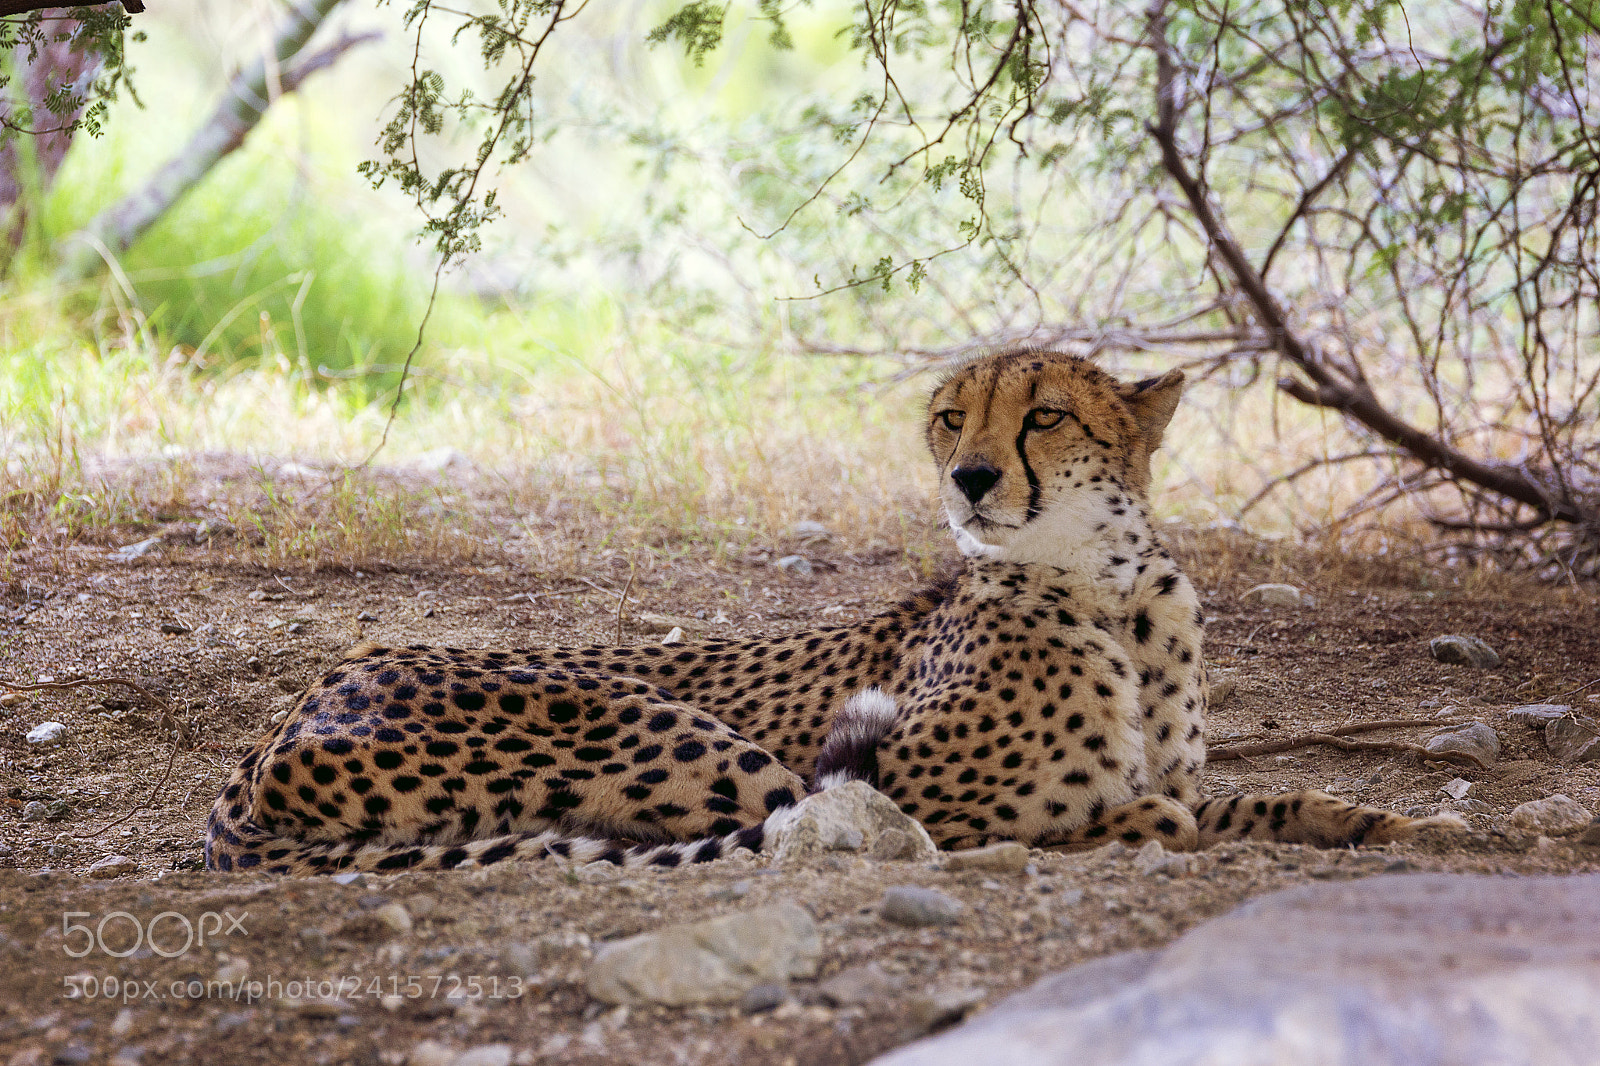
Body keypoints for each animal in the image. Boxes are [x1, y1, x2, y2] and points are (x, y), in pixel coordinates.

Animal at [207, 348, 1458, 875]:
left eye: (1045, 414)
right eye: (952, 416)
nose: (970, 477)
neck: (1107, 589)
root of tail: (266, 741)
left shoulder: (1191, 771)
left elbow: (1262, 798)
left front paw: (1392, 825)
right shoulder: (915, 789)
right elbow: (1066, 819)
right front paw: (1133, 825)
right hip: (684, 735)